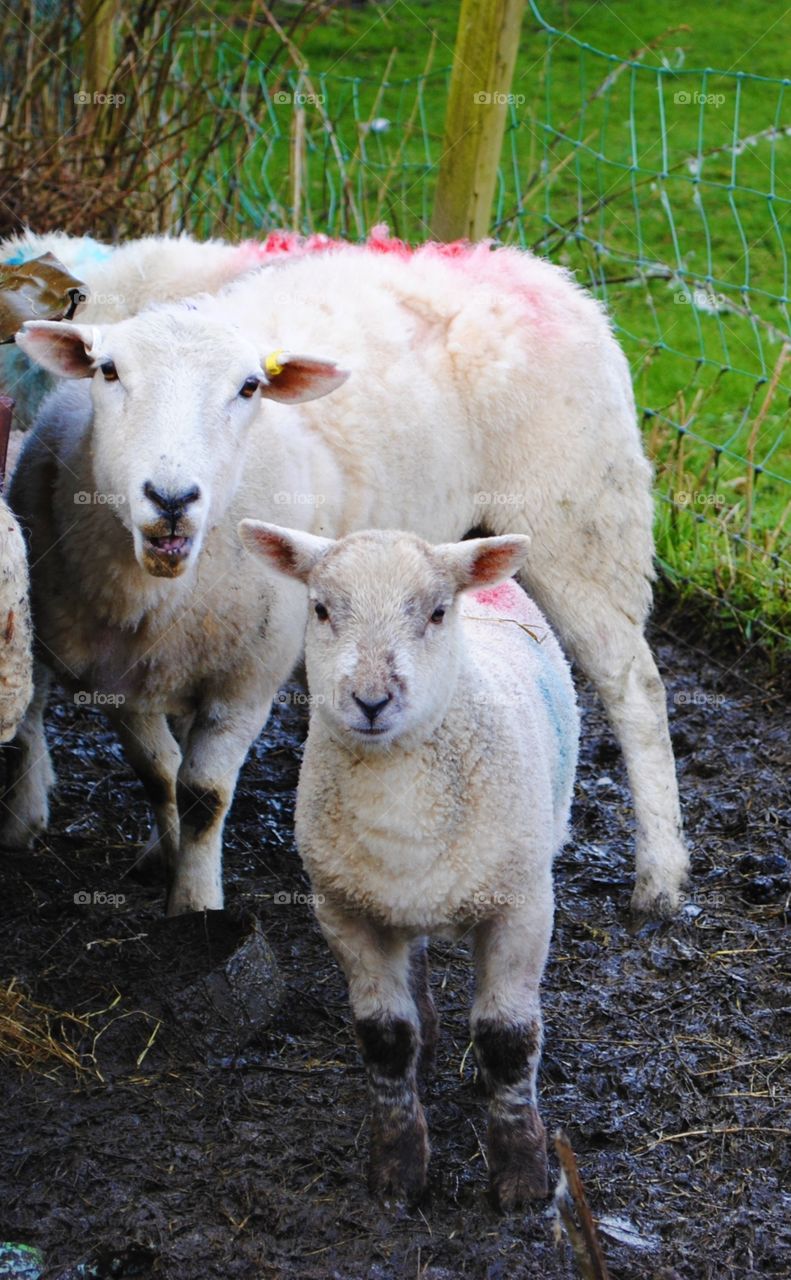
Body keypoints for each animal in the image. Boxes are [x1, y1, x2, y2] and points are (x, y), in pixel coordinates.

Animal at [3, 233, 688, 917]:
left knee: (636, 690)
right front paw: (164, 858)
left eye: (249, 387)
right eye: (107, 371)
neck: (159, 583)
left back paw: (660, 874)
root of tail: (536, 270)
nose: (172, 498)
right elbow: (159, 774)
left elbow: (203, 795)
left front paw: (195, 905)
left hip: (582, 526)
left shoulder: (247, 676)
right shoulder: (118, 668)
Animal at [239, 520, 578, 1208]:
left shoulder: (523, 906)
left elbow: (508, 1040)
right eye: (320, 609)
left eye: (437, 613)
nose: (371, 701)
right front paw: (397, 1170)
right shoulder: (343, 909)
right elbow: (385, 1036)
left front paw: (522, 1178)